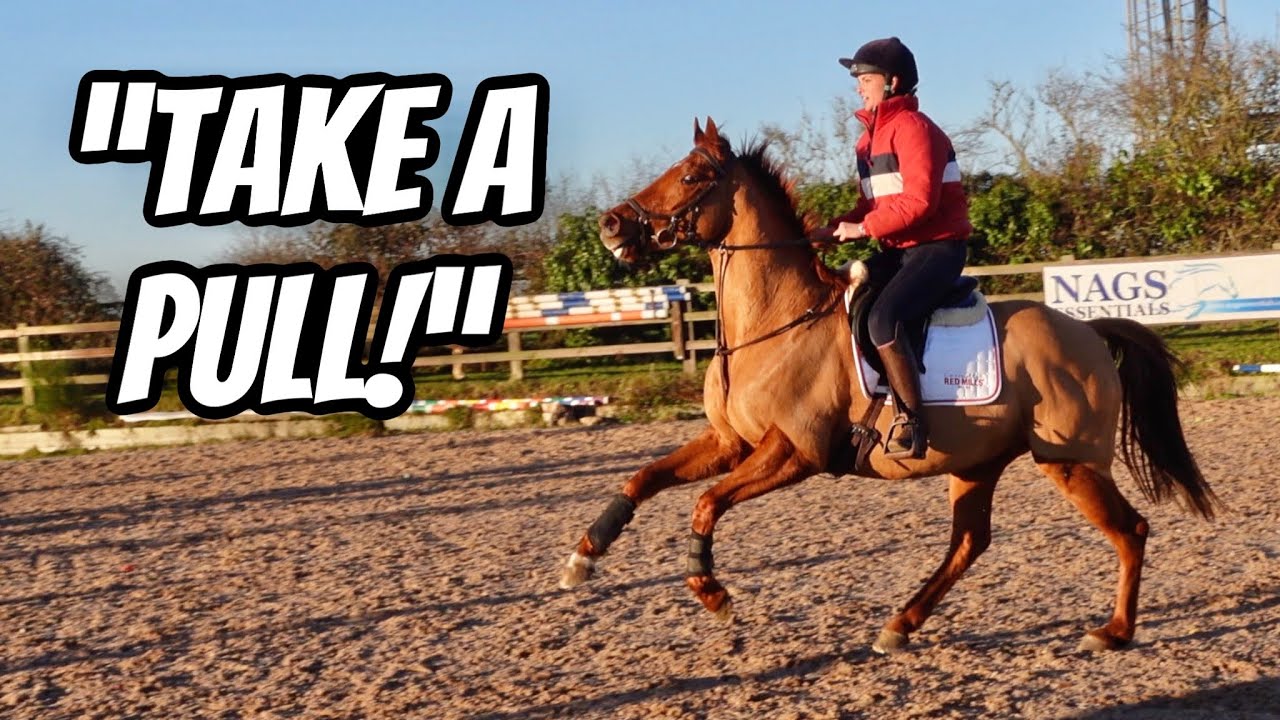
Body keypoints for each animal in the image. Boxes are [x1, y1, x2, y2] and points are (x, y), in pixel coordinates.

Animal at [558, 117, 1217, 653]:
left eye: (692, 176)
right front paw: (582, 558)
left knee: (1129, 531)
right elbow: (643, 478)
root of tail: (1087, 332)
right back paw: (900, 625)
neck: (775, 322)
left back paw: (1114, 632)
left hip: (1070, 462)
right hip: (978, 463)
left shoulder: (794, 453)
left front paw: (711, 591)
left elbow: (705, 503)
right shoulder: (730, 444)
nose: (611, 226)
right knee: (970, 543)